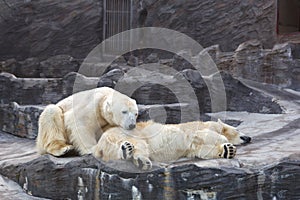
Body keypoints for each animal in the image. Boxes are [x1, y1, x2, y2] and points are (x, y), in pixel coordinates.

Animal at [94, 119, 251, 170]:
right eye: (238, 129)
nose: (249, 137)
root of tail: (98, 146)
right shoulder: (197, 128)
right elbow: (206, 135)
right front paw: (226, 143)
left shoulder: (192, 146)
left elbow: (200, 150)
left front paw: (227, 150)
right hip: (129, 133)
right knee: (140, 144)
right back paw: (141, 159)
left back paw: (126, 151)